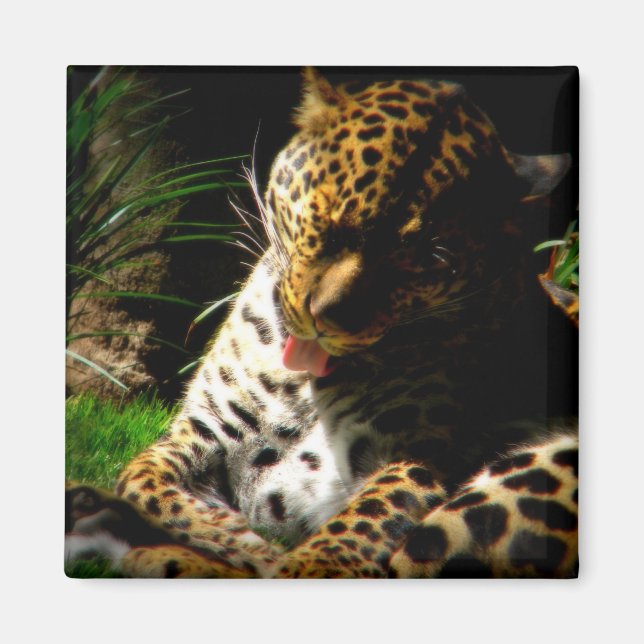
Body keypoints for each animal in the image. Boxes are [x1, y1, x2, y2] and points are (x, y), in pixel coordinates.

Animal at [65, 68, 578, 578]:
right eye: (326, 217)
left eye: (429, 261)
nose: (327, 317)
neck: (300, 386)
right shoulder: (204, 426)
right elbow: (140, 477)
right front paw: (234, 539)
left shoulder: (426, 455)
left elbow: (351, 535)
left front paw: (267, 555)